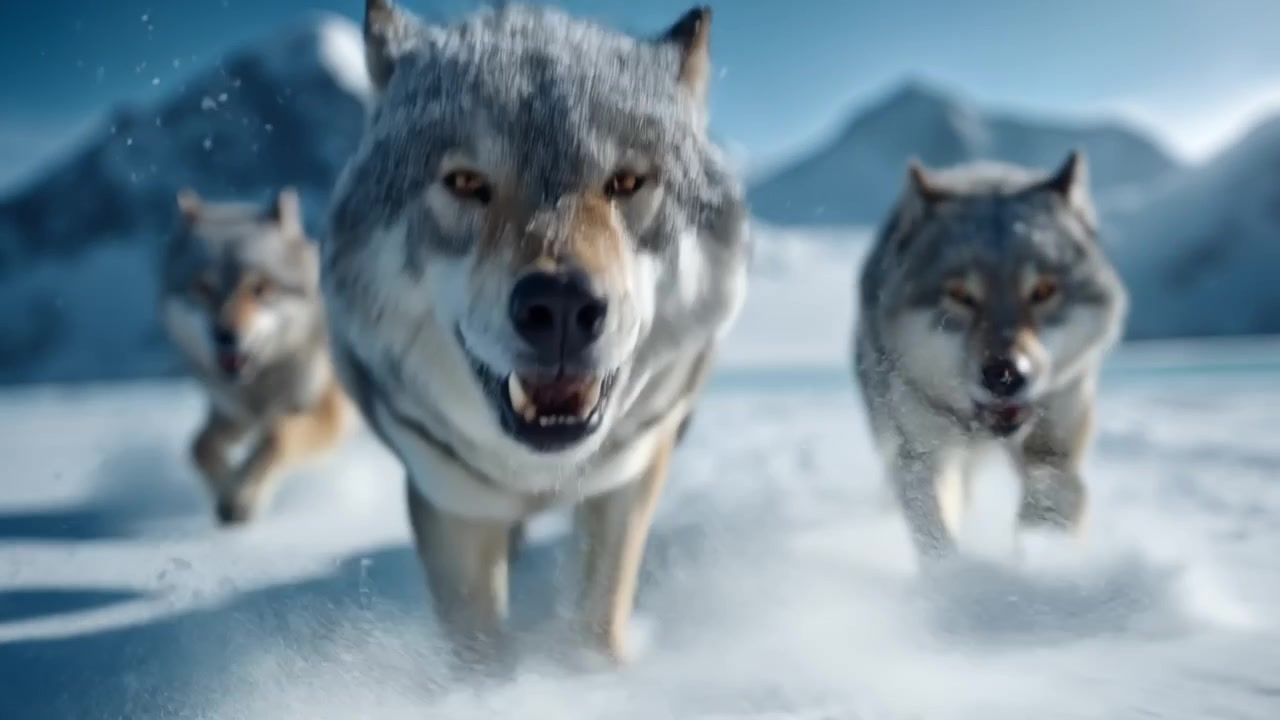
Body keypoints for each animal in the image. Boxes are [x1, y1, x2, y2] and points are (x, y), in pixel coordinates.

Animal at [161, 187, 354, 526]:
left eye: (260, 288)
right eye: (203, 288)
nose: (225, 335)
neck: (260, 386)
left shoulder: (325, 410)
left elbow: (276, 436)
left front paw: (245, 497)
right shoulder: (234, 414)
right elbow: (198, 446)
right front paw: (228, 491)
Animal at [320, 0, 749, 665]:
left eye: (626, 183)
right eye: (466, 183)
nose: (562, 306)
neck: (540, 472)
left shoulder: (628, 475)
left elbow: (597, 614)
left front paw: (590, 675)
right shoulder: (449, 498)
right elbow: (475, 646)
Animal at [854, 151, 1128, 563]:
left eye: (1043, 290)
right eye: (961, 295)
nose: (1005, 375)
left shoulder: (1055, 444)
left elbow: (1050, 499)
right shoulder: (921, 454)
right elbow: (935, 535)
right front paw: (960, 577)